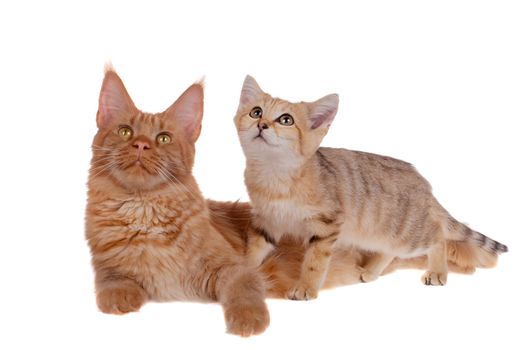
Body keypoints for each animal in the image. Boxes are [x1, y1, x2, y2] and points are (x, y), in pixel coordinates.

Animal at [85, 67, 268, 336]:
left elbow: (244, 290)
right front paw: (122, 299)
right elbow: (112, 283)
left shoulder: (235, 267)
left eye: (163, 138)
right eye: (125, 131)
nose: (141, 144)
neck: (143, 209)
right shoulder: (106, 267)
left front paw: (248, 319)